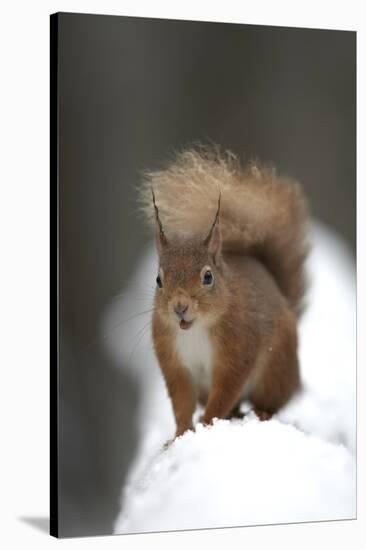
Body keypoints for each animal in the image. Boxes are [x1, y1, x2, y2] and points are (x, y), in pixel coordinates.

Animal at [139, 147, 308, 440]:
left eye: (208, 277)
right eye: (158, 280)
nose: (180, 307)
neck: (194, 329)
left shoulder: (237, 350)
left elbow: (224, 393)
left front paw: (207, 423)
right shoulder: (174, 361)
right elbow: (181, 401)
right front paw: (179, 435)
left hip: (276, 370)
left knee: (270, 402)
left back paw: (262, 413)